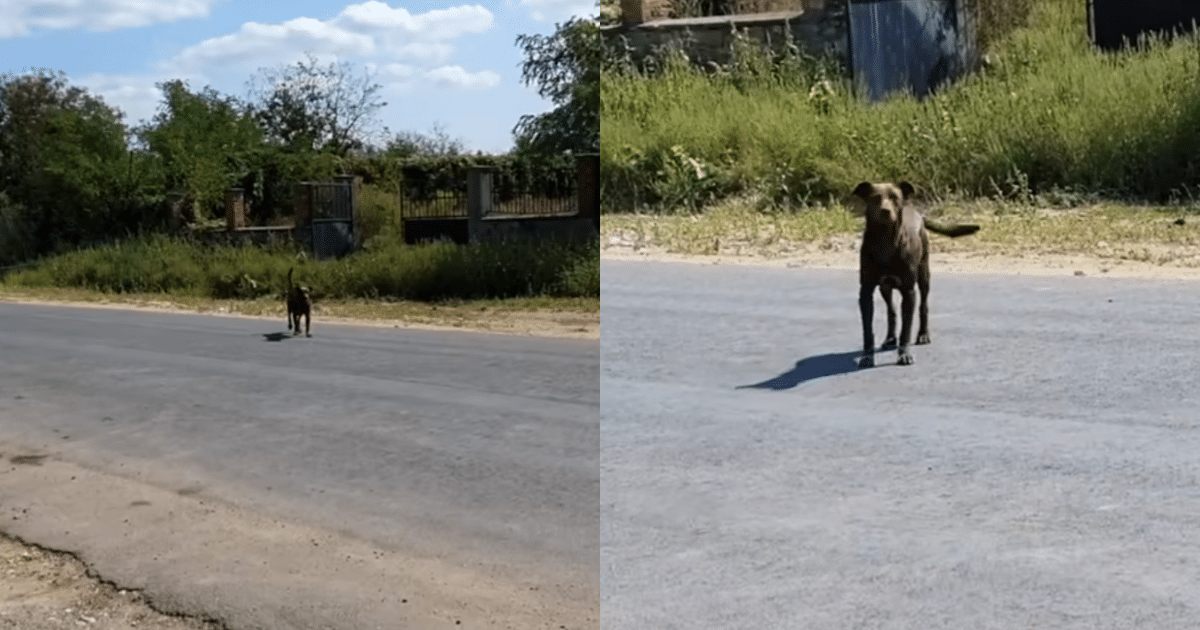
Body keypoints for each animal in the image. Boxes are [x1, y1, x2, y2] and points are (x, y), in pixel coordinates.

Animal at [849, 181, 979, 364]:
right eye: (875, 198)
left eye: (895, 198)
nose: (885, 211)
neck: (885, 241)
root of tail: (916, 211)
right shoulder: (866, 292)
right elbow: (868, 330)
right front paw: (867, 356)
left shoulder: (909, 291)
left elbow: (906, 329)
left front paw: (904, 354)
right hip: (885, 288)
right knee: (891, 310)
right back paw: (890, 338)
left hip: (924, 277)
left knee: (923, 306)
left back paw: (923, 334)